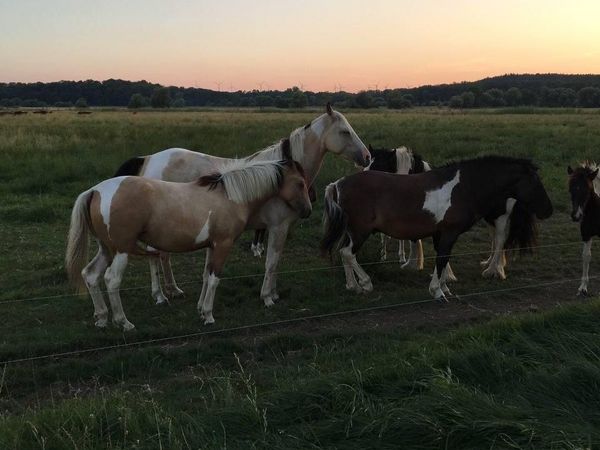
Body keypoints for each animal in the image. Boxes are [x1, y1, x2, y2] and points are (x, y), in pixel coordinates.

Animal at [66, 156, 312, 330]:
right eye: (300, 183)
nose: (308, 211)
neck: (230, 195)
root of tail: (95, 190)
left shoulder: (212, 246)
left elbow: (205, 276)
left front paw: (201, 310)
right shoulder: (223, 245)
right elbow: (214, 279)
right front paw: (209, 316)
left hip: (106, 249)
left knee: (91, 275)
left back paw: (101, 318)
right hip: (121, 250)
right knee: (111, 280)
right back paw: (124, 322)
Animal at [111, 105, 370, 308]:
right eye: (345, 131)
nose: (367, 157)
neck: (281, 176)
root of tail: (149, 159)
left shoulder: (280, 229)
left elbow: (276, 262)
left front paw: (273, 293)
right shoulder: (278, 227)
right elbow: (272, 261)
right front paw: (267, 297)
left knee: (163, 256)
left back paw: (173, 290)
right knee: (155, 257)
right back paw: (159, 295)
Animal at [322, 156, 552, 300]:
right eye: (534, 180)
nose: (548, 210)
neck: (464, 187)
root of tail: (338, 184)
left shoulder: (440, 234)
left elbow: (444, 259)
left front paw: (444, 286)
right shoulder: (449, 233)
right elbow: (442, 259)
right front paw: (438, 291)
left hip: (352, 232)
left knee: (343, 253)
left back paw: (353, 286)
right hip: (360, 232)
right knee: (348, 253)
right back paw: (366, 283)